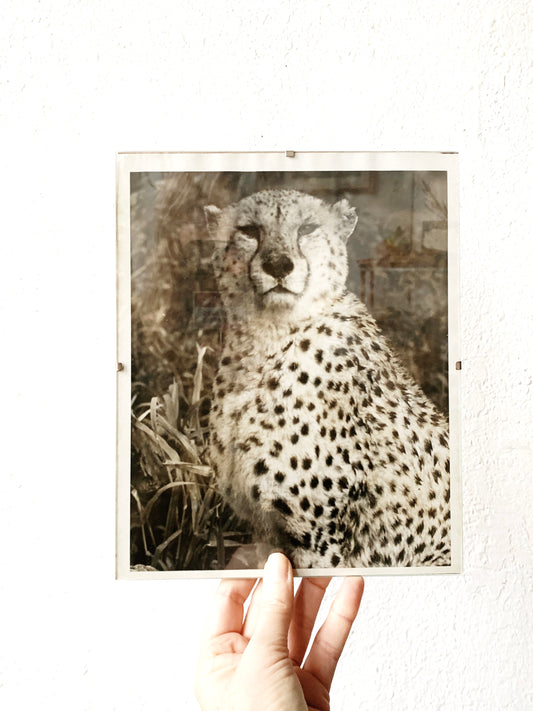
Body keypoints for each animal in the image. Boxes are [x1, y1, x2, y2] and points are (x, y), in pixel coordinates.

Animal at [204, 188, 451, 570]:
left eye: (307, 228)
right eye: (249, 231)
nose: (279, 266)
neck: (266, 341)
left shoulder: (318, 539)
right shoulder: (266, 531)